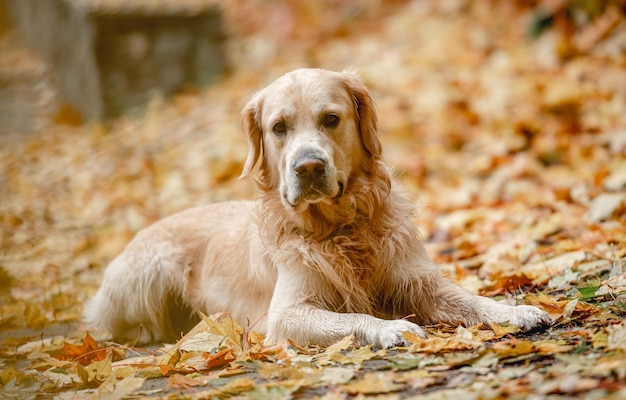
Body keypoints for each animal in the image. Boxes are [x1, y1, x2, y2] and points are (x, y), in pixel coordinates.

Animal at [85, 69, 548, 346]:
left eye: (331, 119)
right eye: (278, 128)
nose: (308, 166)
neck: (341, 228)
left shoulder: (418, 282)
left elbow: (472, 300)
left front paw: (515, 310)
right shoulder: (286, 313)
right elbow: (351, 317)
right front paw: (391, 327)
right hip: (153, 267)